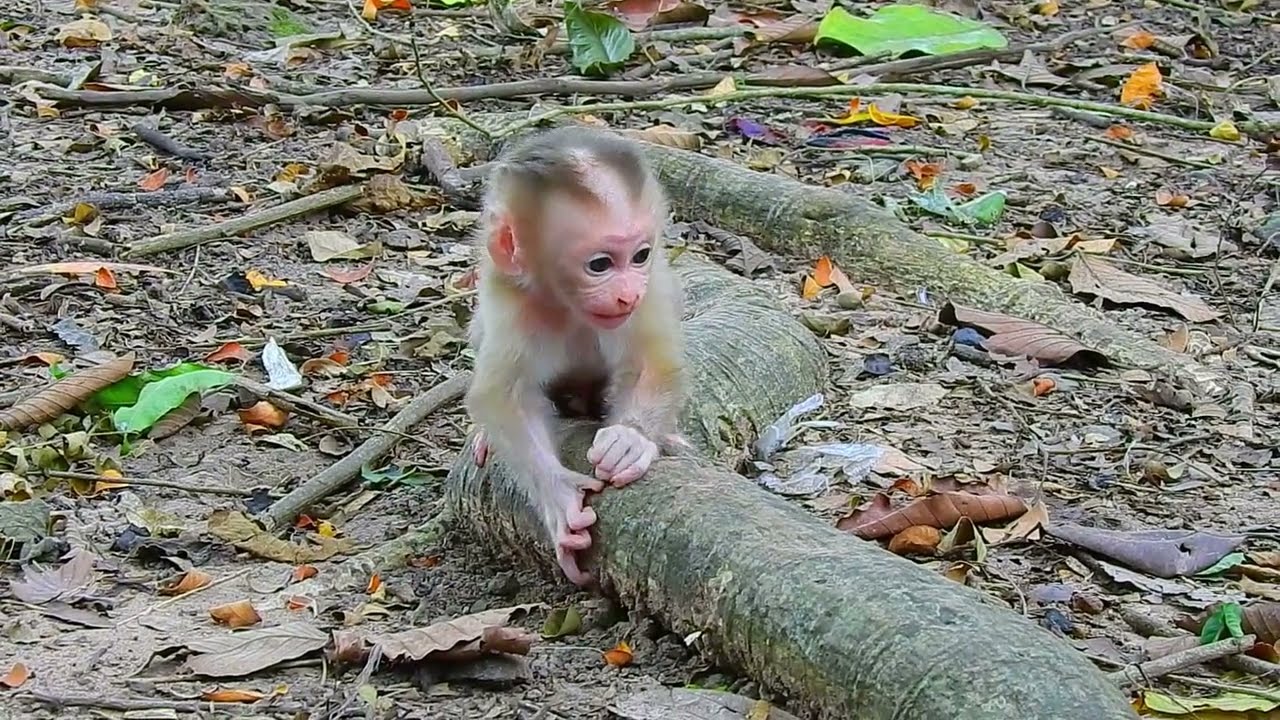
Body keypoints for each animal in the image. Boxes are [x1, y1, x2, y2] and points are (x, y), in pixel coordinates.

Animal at [463, 127, 687, 586]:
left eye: (640, 255)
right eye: (599, 265)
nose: (627, 293)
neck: (567, 304)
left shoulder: (650, 286)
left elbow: (652, 361)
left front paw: (631, 440)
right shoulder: (514, 302)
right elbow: (504, 397)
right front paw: (559, 497)